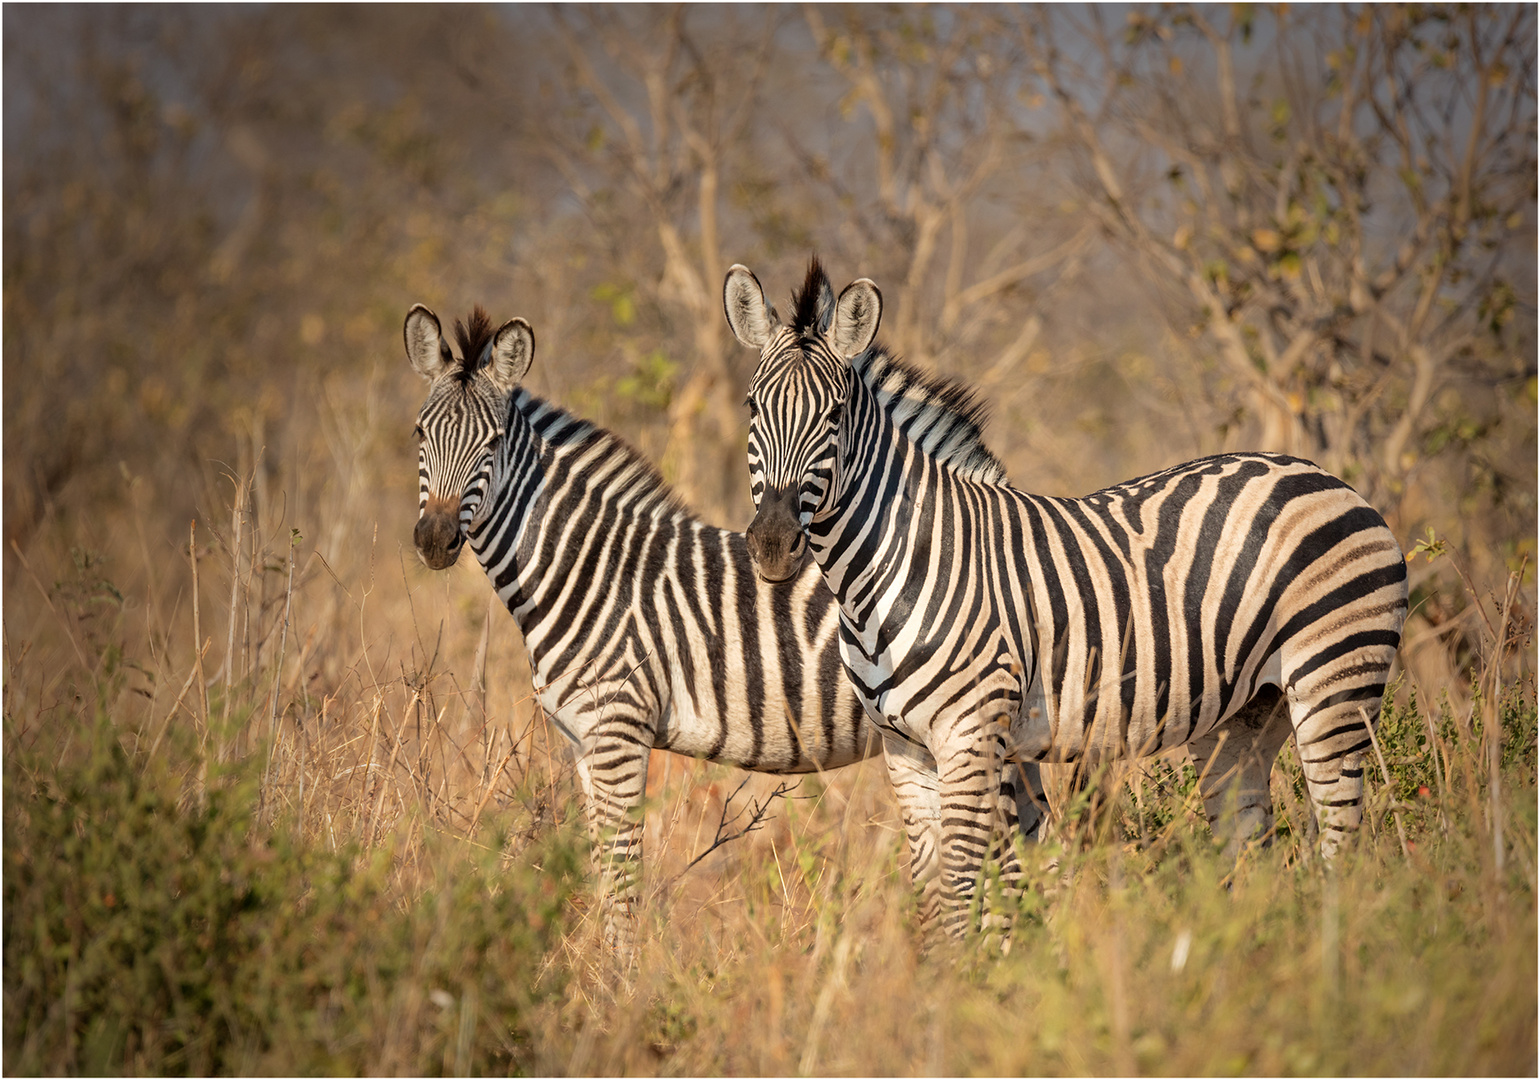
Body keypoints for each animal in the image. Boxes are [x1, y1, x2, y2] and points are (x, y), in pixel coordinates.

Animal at [400, 301, 1047, 949]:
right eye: (420, 434)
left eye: (493, 442)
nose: (434, 540)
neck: (588, 566)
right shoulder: (580, 742)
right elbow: (603, 872)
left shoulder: (619, 731)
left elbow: (622, 879)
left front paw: (619, 975)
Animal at [720, 258, 1410, 936]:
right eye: (752, 407)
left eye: (834, 416)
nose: (773, 545)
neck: (884, 580)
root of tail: (1324, 476)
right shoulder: (906, 751)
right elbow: (933, 899)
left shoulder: (970, 736)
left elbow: (963, 895)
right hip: (1243, 716)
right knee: (1253, 853)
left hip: (1335, 685)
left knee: (1341, 844)